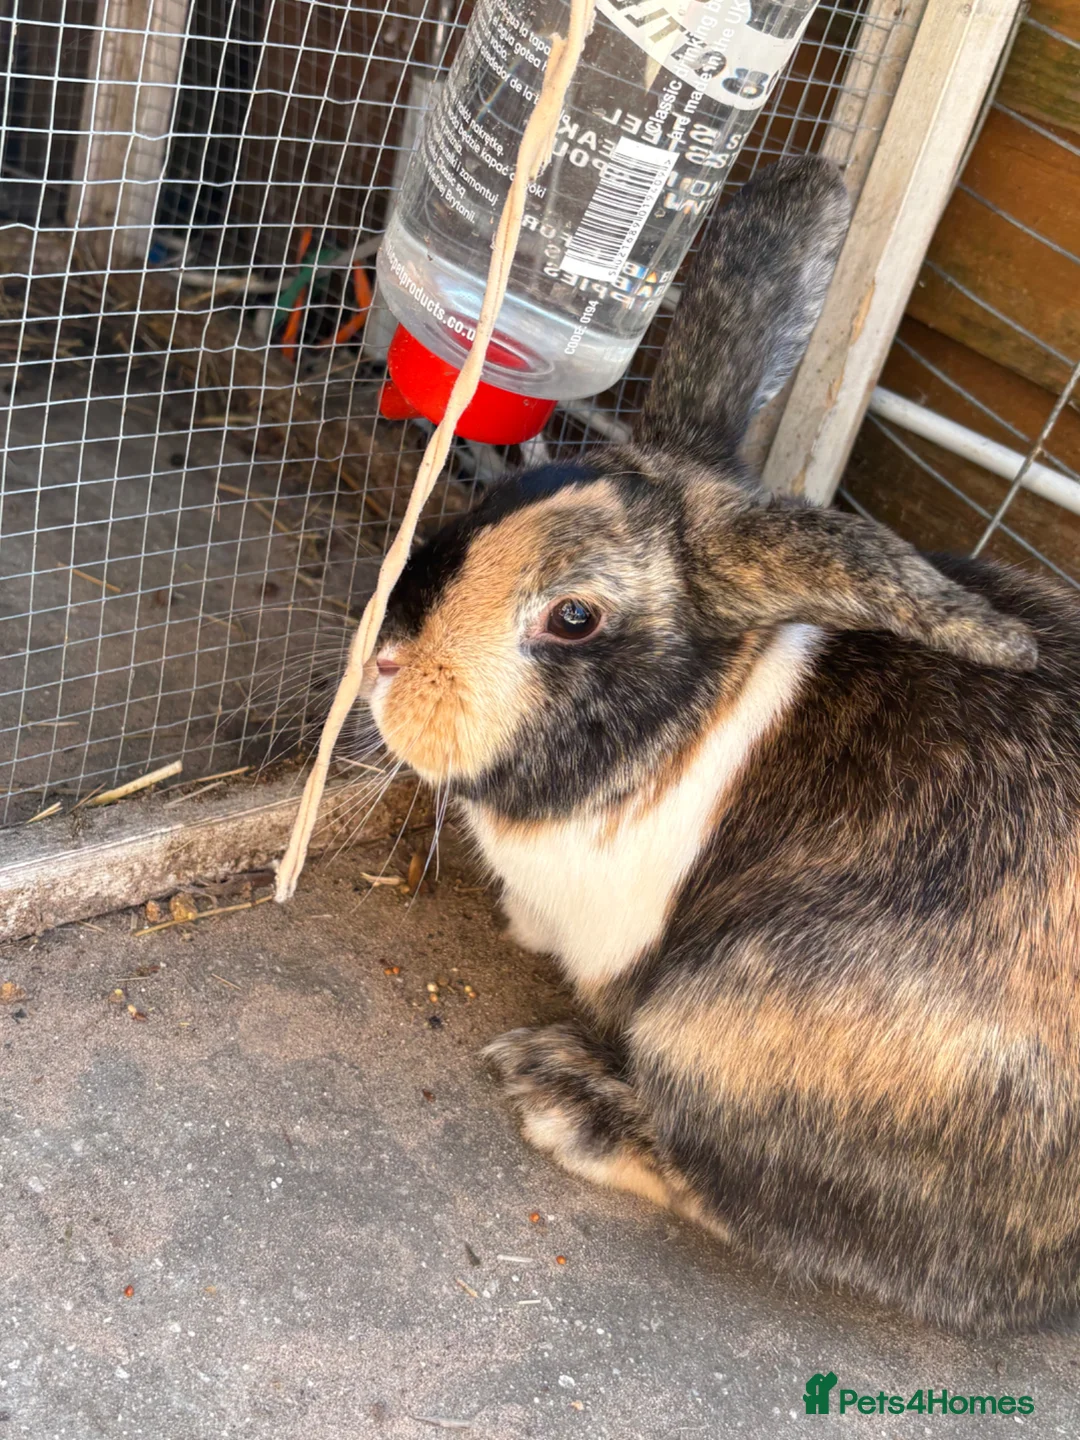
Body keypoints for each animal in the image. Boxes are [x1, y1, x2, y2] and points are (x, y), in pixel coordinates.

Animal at [365, 155, 1080, 1335]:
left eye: (574, 618)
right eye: (493, 497)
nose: (384, 658)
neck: (700, 716)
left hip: (722, 1026)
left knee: (729, 1192)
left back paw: (562, 1098)